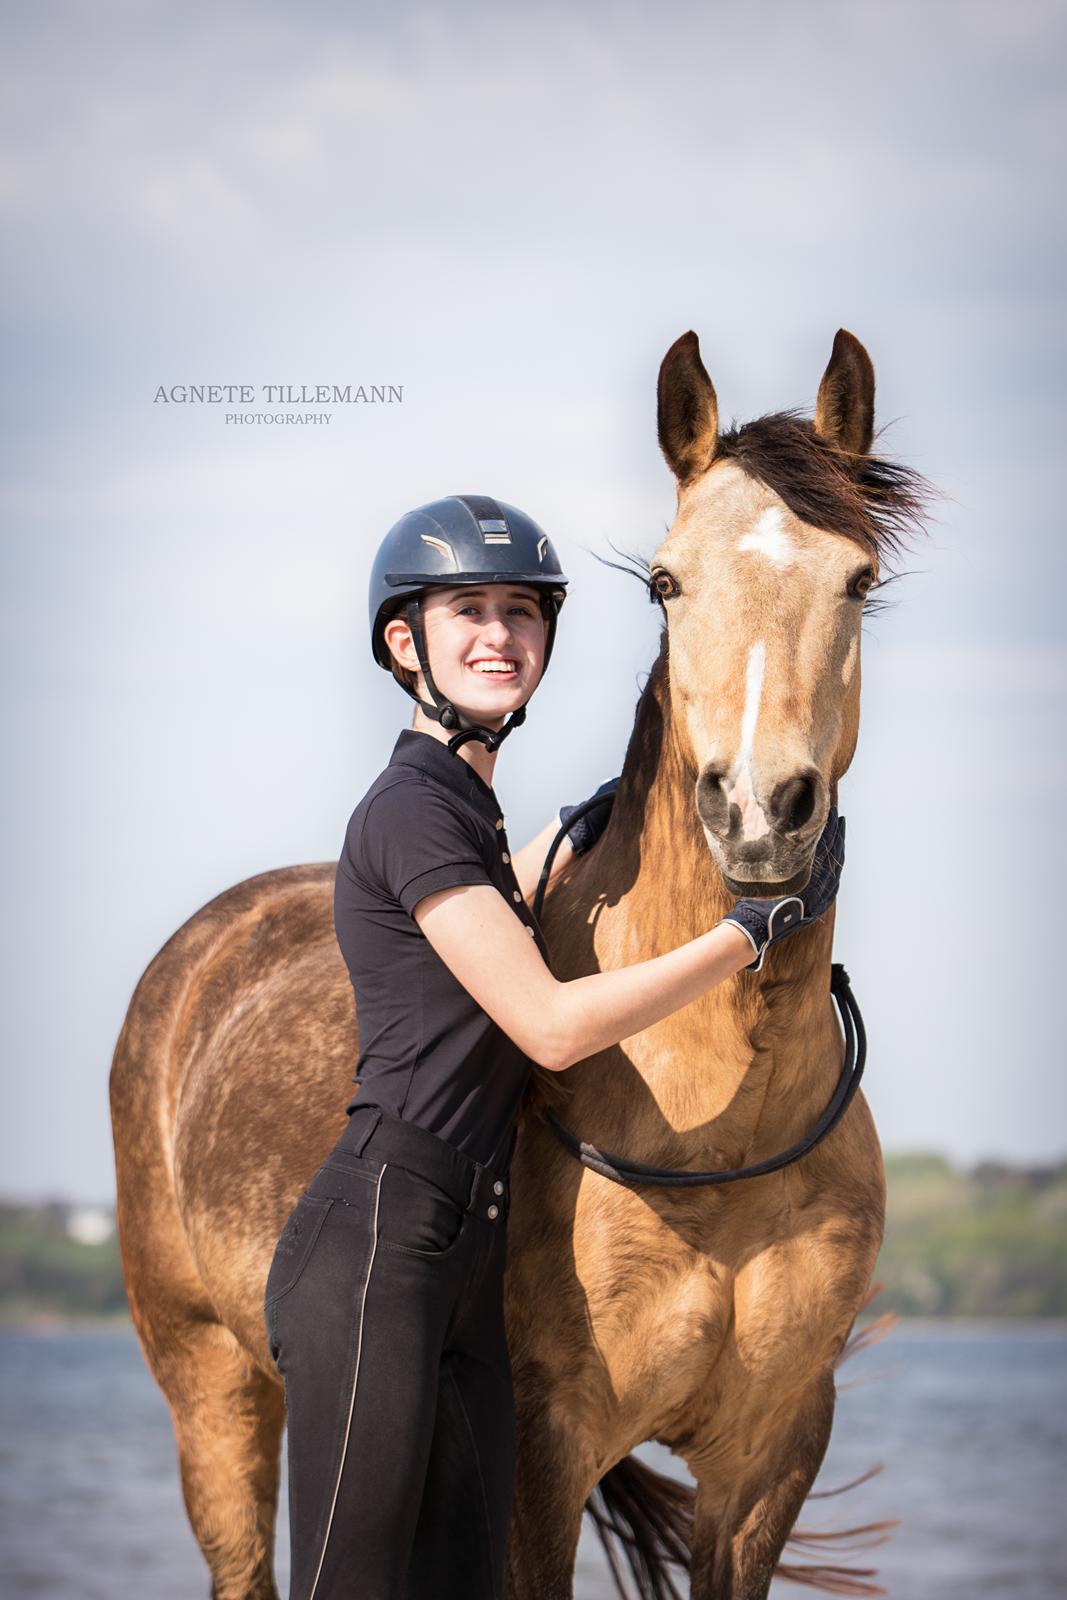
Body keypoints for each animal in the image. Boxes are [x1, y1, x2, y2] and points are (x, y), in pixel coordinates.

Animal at [108, 328, 927, 1600]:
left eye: (856, 580)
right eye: (664, 581)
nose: (756, 812)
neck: (718, 1123)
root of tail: (203, 947)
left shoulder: (769, 1456)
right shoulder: (545, 1445)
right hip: (213, 1388)